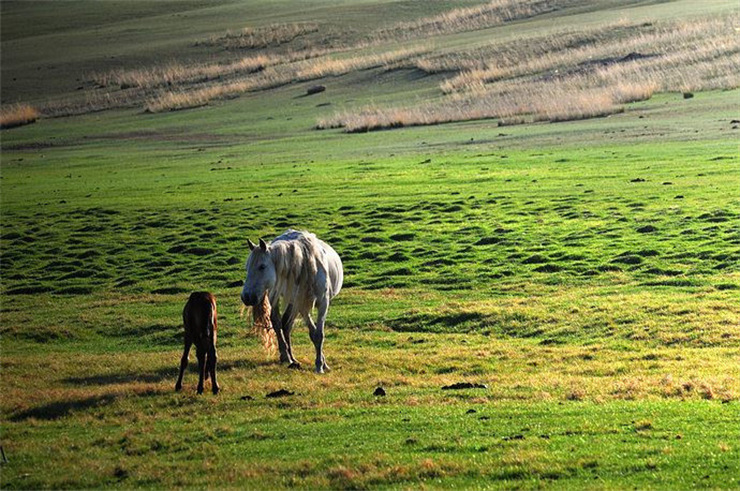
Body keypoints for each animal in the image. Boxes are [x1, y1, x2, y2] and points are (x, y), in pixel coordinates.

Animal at [243, 231, 344, 372]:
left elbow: (318, 334)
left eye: (262, 266)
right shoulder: (302, 305)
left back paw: (292, 358)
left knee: (285, 324)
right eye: (247, 267)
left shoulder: (323, 303)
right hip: (277, 298)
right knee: (278, 323)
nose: (246, 297)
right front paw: (320, 364)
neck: (305, 264)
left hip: (292, 303)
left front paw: (321, 364)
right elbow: (314, 334)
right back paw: (286, 357)